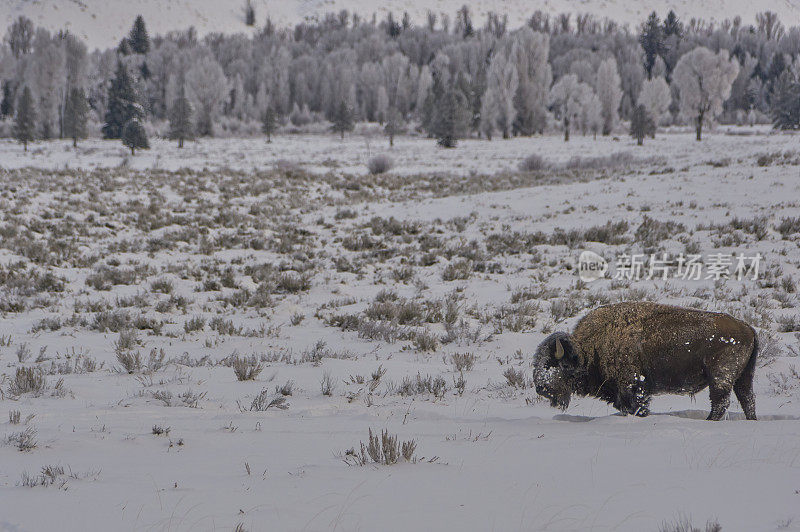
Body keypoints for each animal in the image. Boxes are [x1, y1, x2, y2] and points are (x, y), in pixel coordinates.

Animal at [536, 304, 760, 420]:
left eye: (561, 366)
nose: (541, 388)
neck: (591, 349)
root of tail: (748, 328)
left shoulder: (634, 387)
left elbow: (638, 406)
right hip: (743, 377)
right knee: (747, 399)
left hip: (720, 378)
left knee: (721, 402)